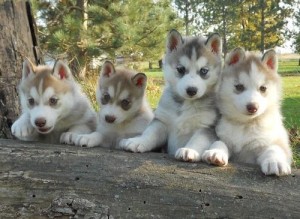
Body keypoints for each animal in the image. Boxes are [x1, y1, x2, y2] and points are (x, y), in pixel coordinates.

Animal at [120, 29, 223, 161]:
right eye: (181, 69)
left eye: (204, 71)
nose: (191, 90)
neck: (185, 104)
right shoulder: (161, 121)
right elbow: (150, 133)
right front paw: (138, 141)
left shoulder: (207, 127)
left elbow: (198, 140)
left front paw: (189, 150)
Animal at [203, 48, 292, 176]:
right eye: (239, 87)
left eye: (263, 88)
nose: (252, 107)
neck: (245, 125)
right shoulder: (224, 138)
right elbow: (220, 143)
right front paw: (215, 152)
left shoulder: (274, 140)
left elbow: (274, 148)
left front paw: (275, 162)